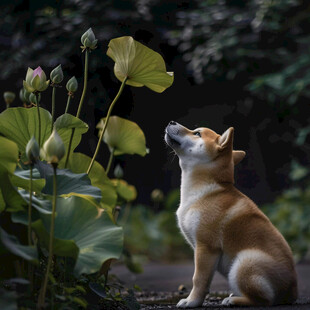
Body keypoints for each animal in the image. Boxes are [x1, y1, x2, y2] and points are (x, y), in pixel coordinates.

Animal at [165, 121, 298, 308]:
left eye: (197, 133)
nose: (172, 122)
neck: (205, 190)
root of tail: (292, 292)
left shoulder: (206, 247)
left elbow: (198, 279)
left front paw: (192, 301)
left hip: (244, 263)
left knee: (264, 300)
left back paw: (234, 300)